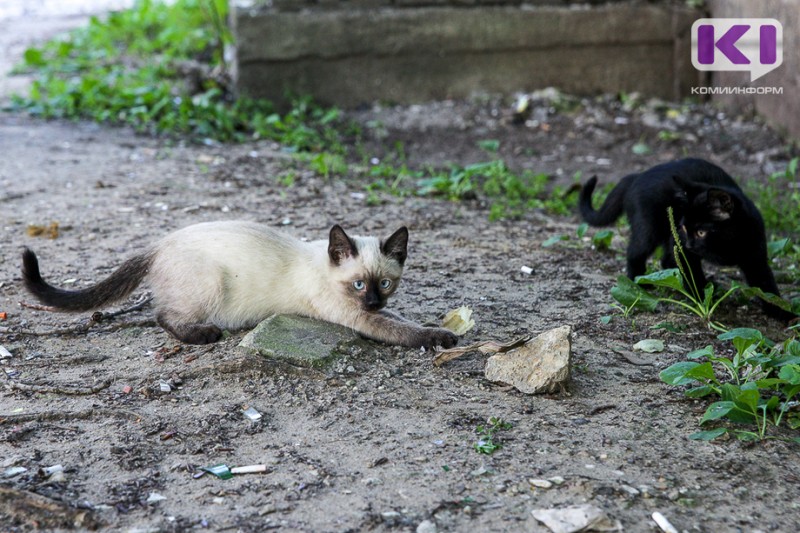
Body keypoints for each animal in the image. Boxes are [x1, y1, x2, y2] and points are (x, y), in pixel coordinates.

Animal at [21, 221, 460, 350]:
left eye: (384, 283)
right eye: (356, 285)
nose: (371, 302)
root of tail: (158, 244)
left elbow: (403, 319)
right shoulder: (358, 319)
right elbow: (404, 331)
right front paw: (443, 338)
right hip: (210, 283)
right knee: (162, 315)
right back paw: (205, 334)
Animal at [580, 156, 792, 322]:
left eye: (701, 232)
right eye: (683, 227)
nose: (689, 243)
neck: (724, 248)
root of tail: (637, 176)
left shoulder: (755, 255)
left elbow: (766, 285)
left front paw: (782, 312)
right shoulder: (682, 249)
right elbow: (693, 274)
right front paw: (702, 298)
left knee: (665, 259)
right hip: (649, 229)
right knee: (635, 253)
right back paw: (639, 284)